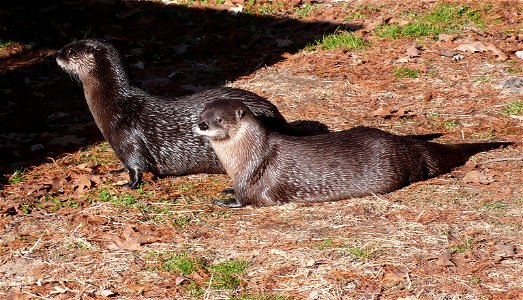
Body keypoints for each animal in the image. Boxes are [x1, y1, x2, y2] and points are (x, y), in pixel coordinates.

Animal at [56, 37, 294, 188]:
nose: (56, 54)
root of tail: (276, 114)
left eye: (69, 51)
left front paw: (129, 184)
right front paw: (116, 171)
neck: (115, 105)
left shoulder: (126, 135)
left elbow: (136, 163)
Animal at [198, 99, 516, 207]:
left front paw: (226, 202)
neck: (243, 156)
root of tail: (405, 143)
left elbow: (247, 199)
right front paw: (226, 190)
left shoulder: (254, 175)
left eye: (220, 119)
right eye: (201, 114)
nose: (201, 124)